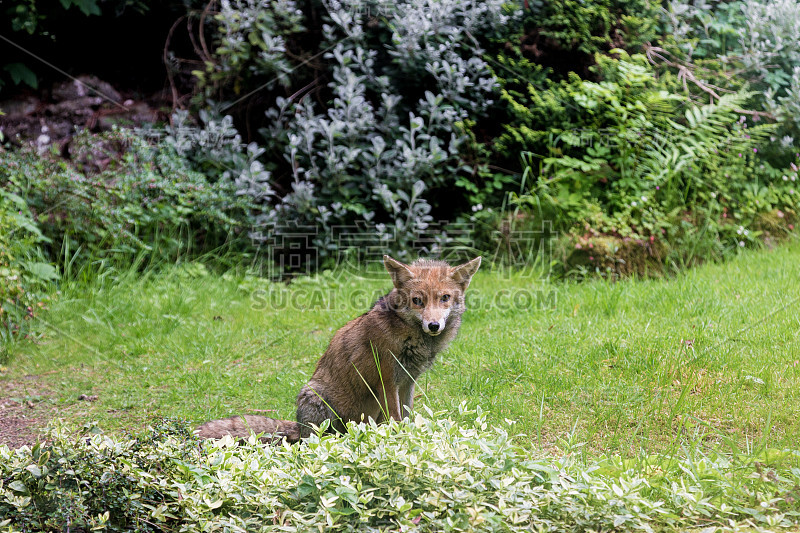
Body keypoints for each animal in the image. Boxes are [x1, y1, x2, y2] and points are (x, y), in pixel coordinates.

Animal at [195, 256, 482, 442]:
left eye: (444, 298)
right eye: (417, 301)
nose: (433, 325)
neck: (410, 336)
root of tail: (298, 425)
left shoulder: (408, 382)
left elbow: (408, 418)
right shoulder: (387, 382)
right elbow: (398, 420)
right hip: (319, 401)